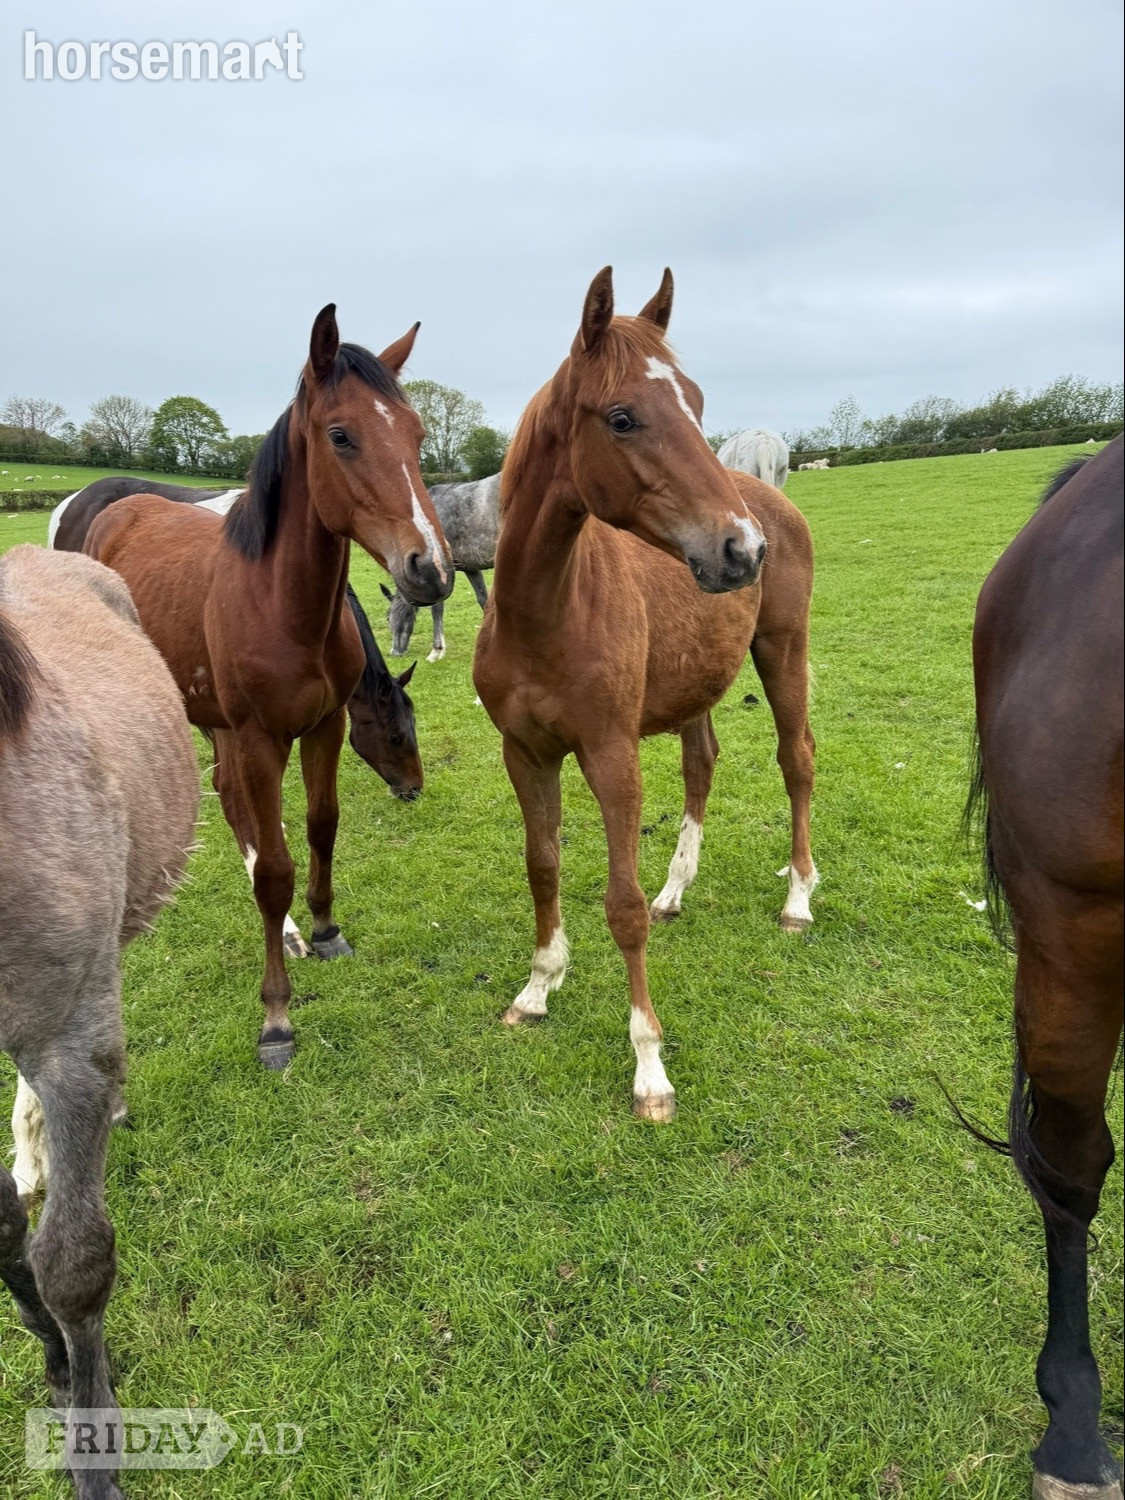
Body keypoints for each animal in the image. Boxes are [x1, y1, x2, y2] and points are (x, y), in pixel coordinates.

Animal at [381, 471, 502, 660]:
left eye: (388, 617)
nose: (394, 652)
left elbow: (437, 608)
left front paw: (436, 650)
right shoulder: (471, 568)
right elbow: (484, 599)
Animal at [473, 267, 817, 1121]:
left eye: (694, 402)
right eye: (622, 417)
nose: (741, 549)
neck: (546, 613)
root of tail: (770, 499)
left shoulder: (610, 755)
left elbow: (620, 907)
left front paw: (648, 1065)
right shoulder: (525, 752)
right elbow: (542, 866)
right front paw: (537, 988)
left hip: (782, 651)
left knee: (796, 759)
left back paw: (798, 899)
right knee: (702, 763)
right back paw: (677, 888)